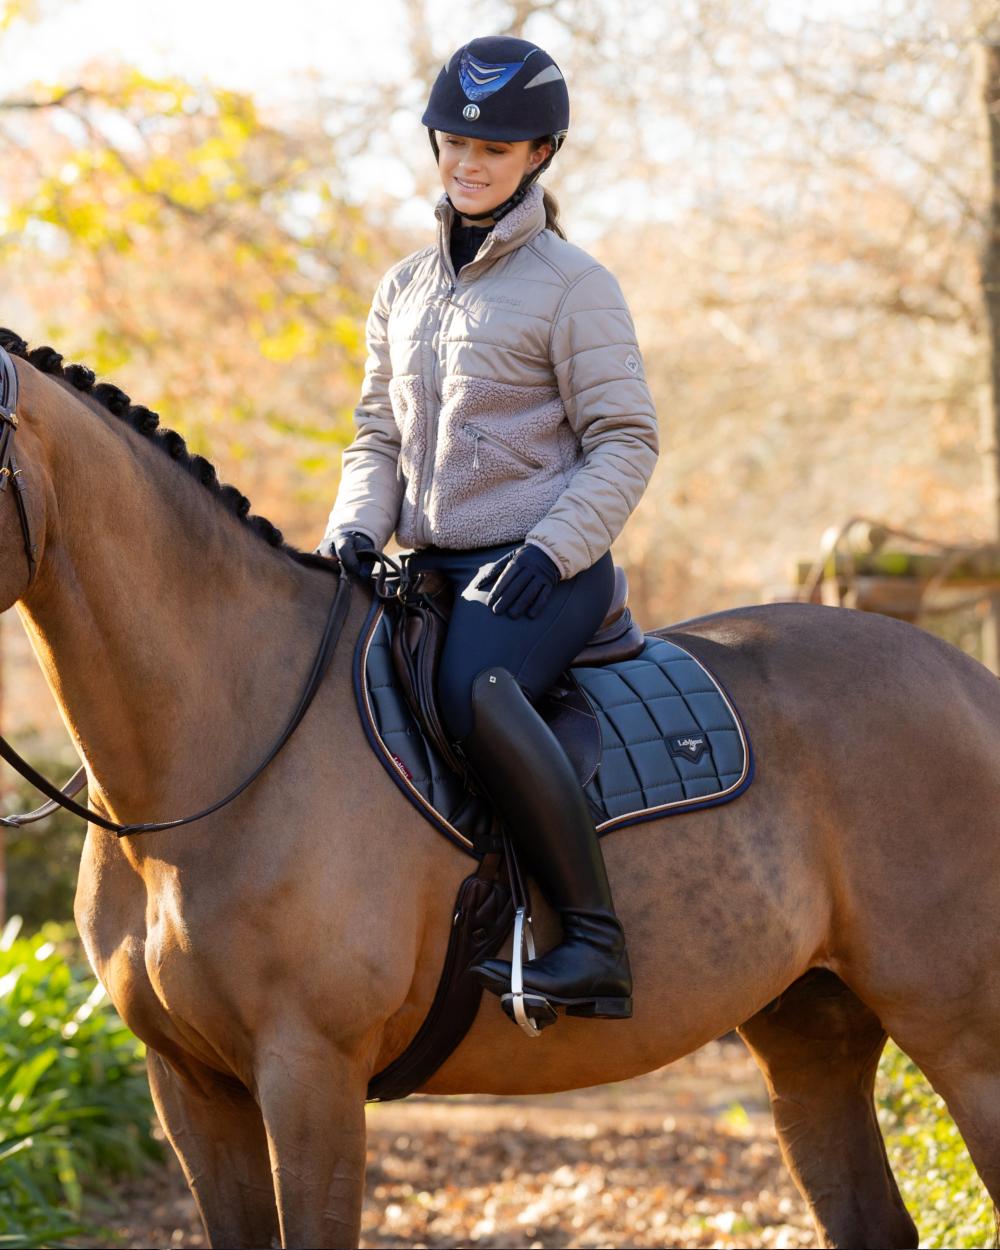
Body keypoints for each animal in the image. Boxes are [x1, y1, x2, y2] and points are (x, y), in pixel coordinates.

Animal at [3, 325, 995, 1250]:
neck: (228, 742)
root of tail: (966, 680)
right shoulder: (192, 1087)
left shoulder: (311, 1075)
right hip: (811, 1030)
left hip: (964, 1036)